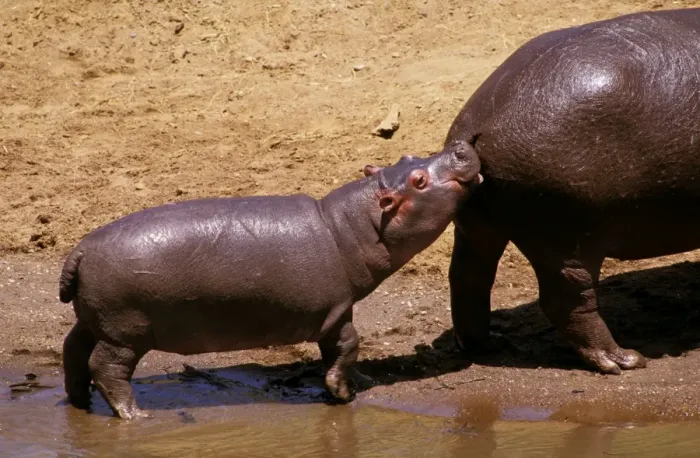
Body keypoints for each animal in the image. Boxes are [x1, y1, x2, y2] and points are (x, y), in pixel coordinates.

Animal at [59, 144, 481, 419]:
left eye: (408, 156)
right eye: (419, 180)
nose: (460, 146)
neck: (350, 227)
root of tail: (79, 249)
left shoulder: (332, 310)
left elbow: (338, 350)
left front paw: (357, 380)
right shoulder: (336, 308)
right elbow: (348, 345)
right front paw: (343, 393)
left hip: (95, 320)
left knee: (73, 349)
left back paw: (80, 402)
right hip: (124, 333)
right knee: (106, 368)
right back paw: (134, 416)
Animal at [446, 8, 700, 375]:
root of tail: (476, 123)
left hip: (479, 227)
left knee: (469, 279)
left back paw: (487, 345)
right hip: (569, 235)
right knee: (567, 299)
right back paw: (622, 360)